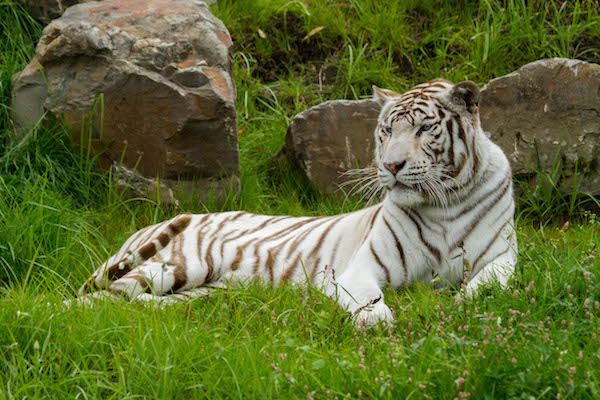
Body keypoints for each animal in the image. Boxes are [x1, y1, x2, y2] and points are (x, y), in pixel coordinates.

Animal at [76, 79, 516, 326]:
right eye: (387, 131)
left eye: (425, 128)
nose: (392, 165)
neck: (444, 203)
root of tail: (138, 230)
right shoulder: (359, 270)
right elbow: (371, 307)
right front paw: (382, 327)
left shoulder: (503, 258)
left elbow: (486, 288)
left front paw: (459, 308)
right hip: (172, 265)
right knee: (86, 302)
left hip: (202, 289)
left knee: (140, 305)